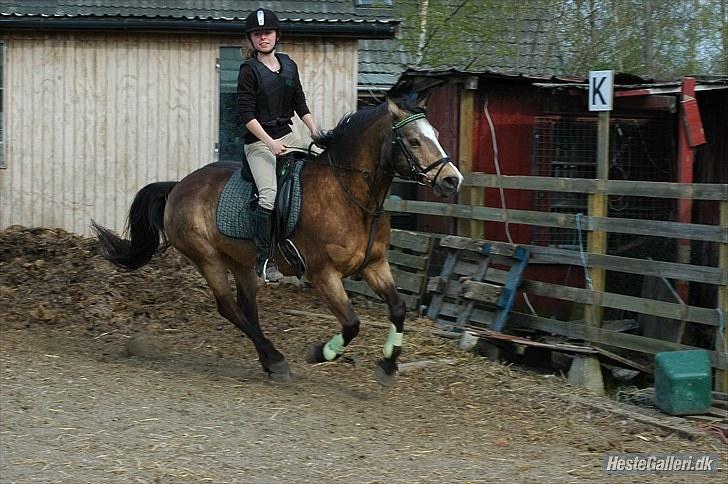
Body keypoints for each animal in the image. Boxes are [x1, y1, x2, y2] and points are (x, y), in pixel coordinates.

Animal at [92, 97, 460, 386]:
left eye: (437, 136)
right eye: (413, 141)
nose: (452, 180)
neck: (351, 196)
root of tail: (179, 185)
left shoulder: (374, 264)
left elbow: (398, 308)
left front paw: (387, 365)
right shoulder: (323, 274)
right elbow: (352, 324)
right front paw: (320, 352)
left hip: (241, 261)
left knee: (248, 311)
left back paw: (269, 361)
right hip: (207, 258)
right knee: (229, 307)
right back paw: (276, 359)